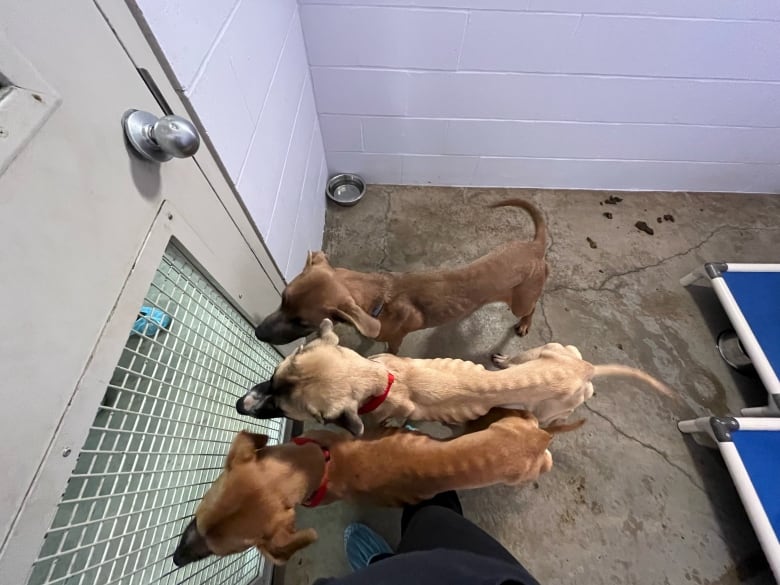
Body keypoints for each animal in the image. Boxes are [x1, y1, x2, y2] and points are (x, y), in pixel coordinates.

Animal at [239, 318, 676, 436]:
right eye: (272, 378)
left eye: (284, 407)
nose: (239, 404)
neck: (383, 377)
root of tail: (584, 368)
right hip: (548, 348)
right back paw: (503, 359)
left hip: (551, 407)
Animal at [253, 198, 544, 352]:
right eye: (282, 298)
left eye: (302, 322)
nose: (257, 333)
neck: (380, 301)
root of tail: (534, 246)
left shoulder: (394, 341)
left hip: (520, 303)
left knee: (531, 308)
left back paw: (525, 323)